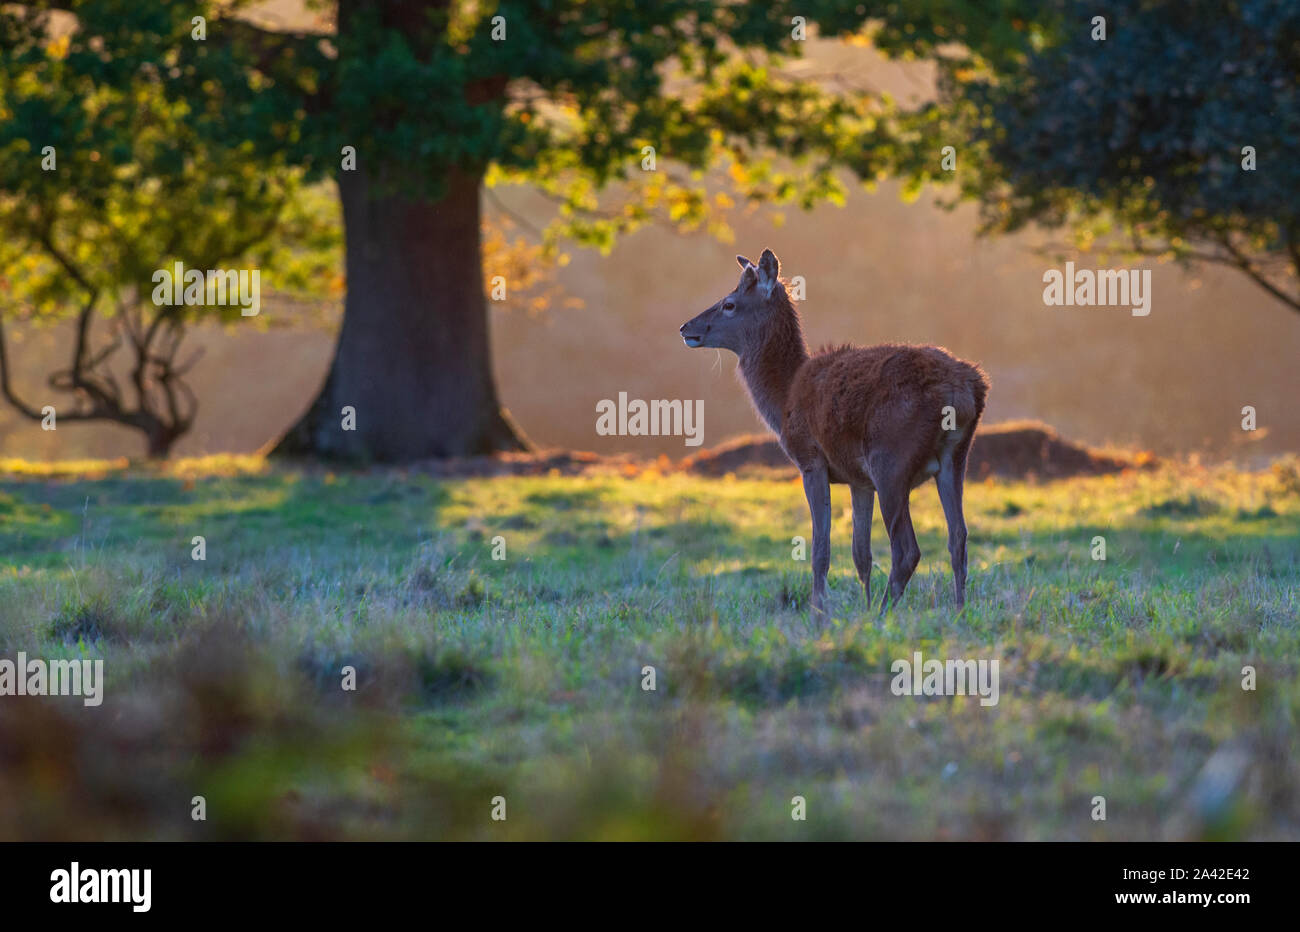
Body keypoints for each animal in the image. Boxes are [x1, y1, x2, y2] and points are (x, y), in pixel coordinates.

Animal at [681, 246, 982, 613]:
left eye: (729, 303)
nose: (685, 327)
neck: (784, 398)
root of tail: (966, 388)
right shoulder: (859, 480)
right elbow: (860, 554)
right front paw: (861, 608)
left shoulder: (810, 460)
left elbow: (820, 552)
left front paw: (820, 612)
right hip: (956, 458)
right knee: (958, 539)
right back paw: (958, 611)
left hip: (891, 459)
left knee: (907, 550)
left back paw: (885, 613)